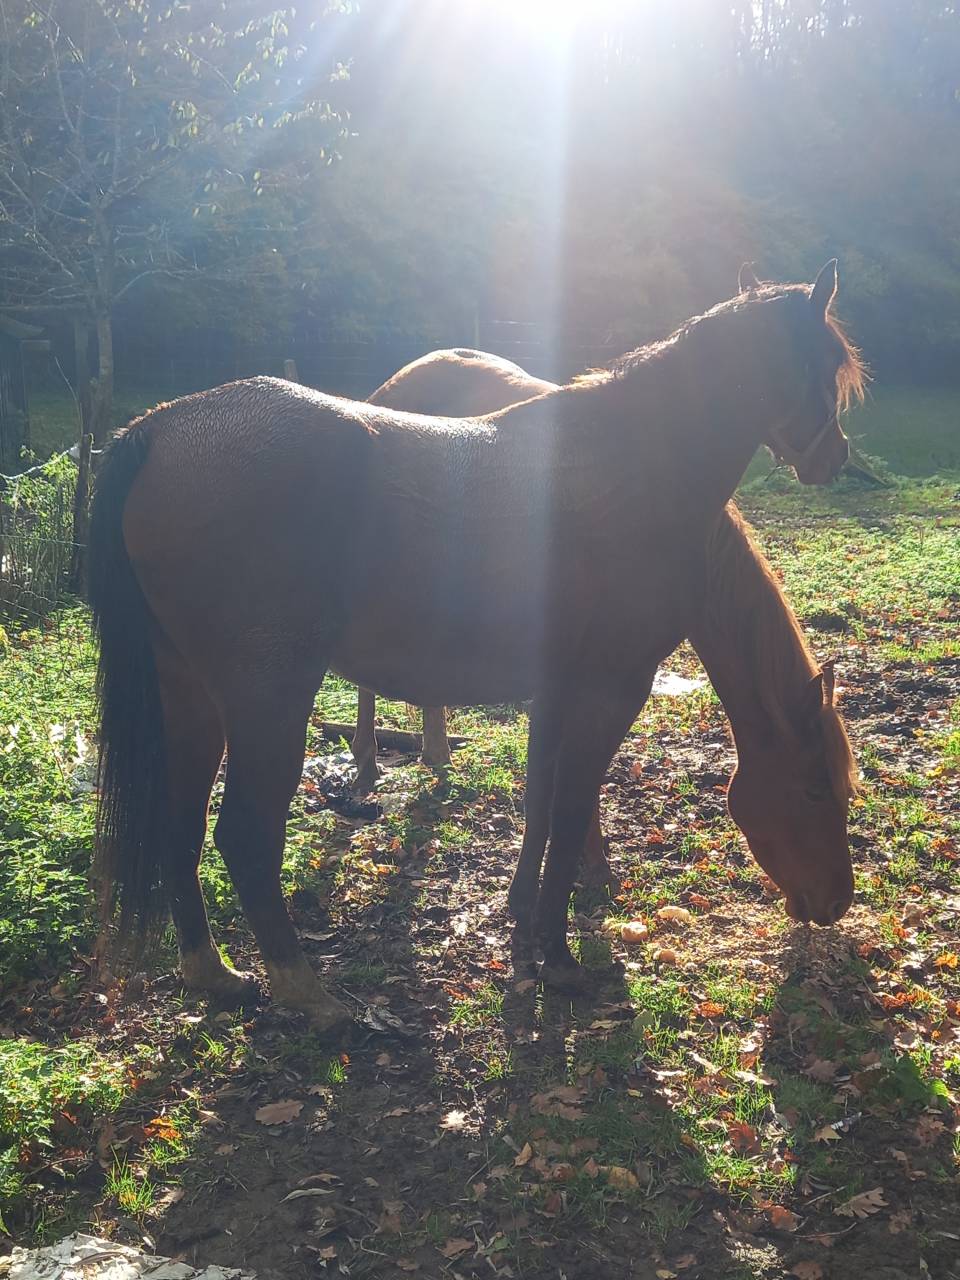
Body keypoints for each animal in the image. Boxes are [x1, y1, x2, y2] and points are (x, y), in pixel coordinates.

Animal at [89, 262, 864, 1030]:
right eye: (815, 787)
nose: (837, 902)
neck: (630, 470)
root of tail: (160, 427)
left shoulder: (557, 686)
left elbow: (542, 799)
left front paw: (527, 921)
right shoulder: (611, 687)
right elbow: (571, 809)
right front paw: (559, 958)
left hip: (189, 695)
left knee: (181, 824)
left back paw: (214, 973)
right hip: (268, 700)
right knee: (245, 837)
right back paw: (307, 990)